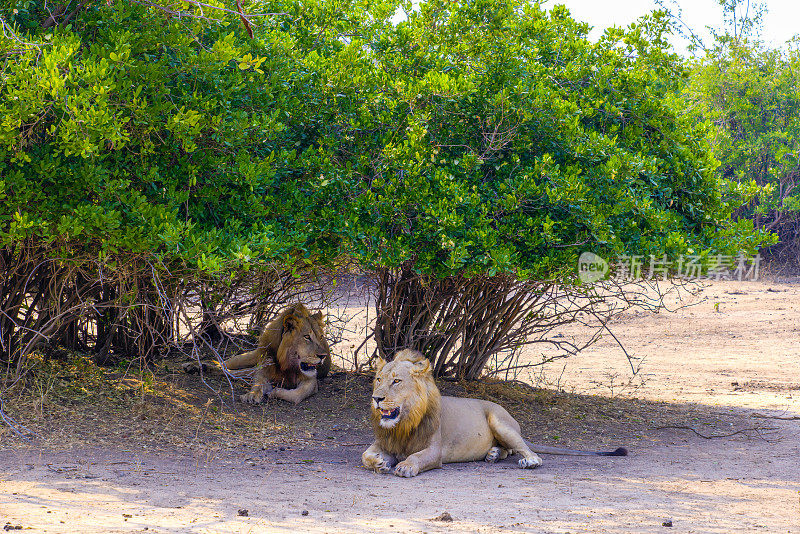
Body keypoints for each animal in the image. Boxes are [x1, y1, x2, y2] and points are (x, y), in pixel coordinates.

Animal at [183, 304, 330, 404]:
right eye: (307, 337)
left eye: (321, 337)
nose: (323, 356)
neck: (286, 363)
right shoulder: (264, 369)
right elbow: (258, 383)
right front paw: (252, 395)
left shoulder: (311, 381)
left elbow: (297, 395)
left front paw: (274, 392)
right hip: (249, 357)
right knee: (224, 365)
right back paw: (194, 366)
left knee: (235, 372)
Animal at [360, 350, 628, 480]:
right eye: (378, 380)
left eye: (396, 381)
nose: (376, 398)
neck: (403, 423)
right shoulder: (385, 442)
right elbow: (365, 456)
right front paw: (380, 463)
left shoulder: (434, 451)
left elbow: (417, 457)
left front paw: (405, 466)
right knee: (508, 449)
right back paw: (493, 454)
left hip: (500, 422)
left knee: (526, 451)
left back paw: (527, 461)